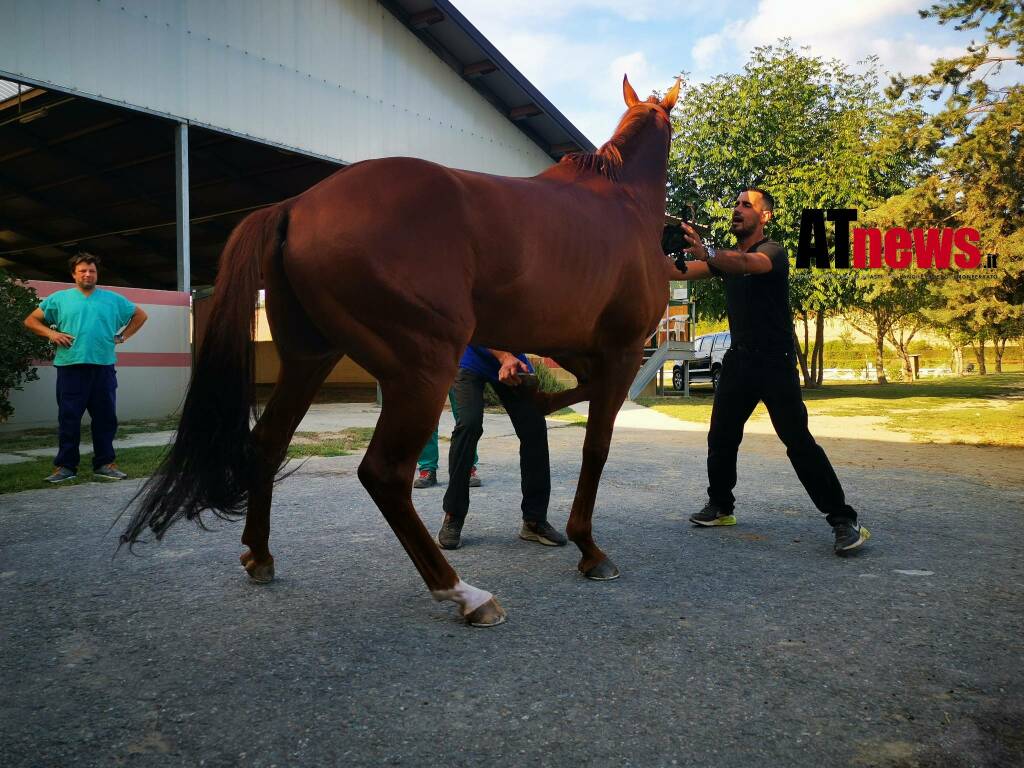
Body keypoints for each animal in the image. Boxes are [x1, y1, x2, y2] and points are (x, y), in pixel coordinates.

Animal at [121, 78, 679, 626]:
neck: (622, 200)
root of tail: (296, 206)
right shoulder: (622, 349)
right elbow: (596, 447)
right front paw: (590, 549)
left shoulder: (576, 347)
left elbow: (572, 393)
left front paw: (535, 400)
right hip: (422, 370)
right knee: (384, 474)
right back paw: (463, 593)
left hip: (309, 362)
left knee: (268, 443)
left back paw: (260, 556)